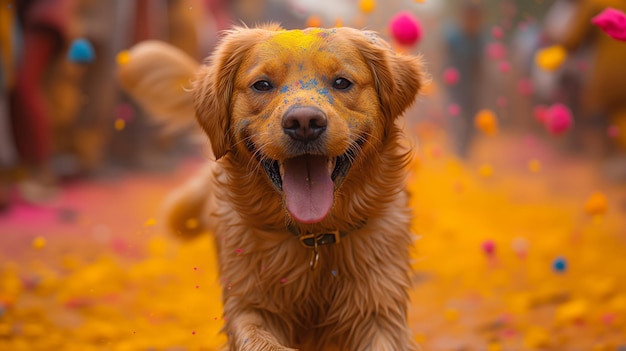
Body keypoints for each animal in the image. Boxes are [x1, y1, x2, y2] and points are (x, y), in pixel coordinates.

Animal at [118, 24, 424, 351]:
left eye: (342, 82)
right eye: (262, 85)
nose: (304, 122)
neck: (313, 239)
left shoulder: (379, 310)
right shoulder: (247, 303)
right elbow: (259, 339)